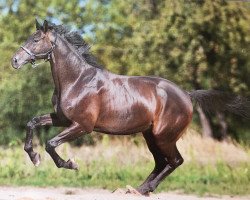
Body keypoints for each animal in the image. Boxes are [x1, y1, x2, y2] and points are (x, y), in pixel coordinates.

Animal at [11, 20, 248, 195]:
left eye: (35, 39)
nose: (14, 60)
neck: (77, 80)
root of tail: (187, 95)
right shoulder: (62, 119)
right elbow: (32, 123)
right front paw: (33, 156)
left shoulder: (82, 126)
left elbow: (51, 144)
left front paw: (70, 164)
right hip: (151, 136)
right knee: (161, 162)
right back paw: (138, 189)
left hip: (164, 136)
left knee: (174, 161)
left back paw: (144, 189)